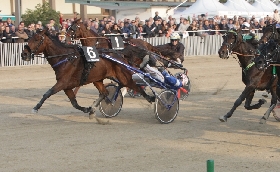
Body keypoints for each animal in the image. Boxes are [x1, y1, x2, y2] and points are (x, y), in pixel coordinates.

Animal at [20, 28, 155, 117]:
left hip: (123, 77)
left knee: (134, 85)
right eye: (29, 39)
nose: (24, 54)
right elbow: (74, 103)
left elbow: (47, 93)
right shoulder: (67, 87)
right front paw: (87, 109)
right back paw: (98, 106)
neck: (65, 58)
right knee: (105, 93)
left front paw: (36, 108)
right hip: (97, 79)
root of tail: (119, 55)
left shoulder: (62, 83)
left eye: (37, 39)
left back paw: (151, 98)